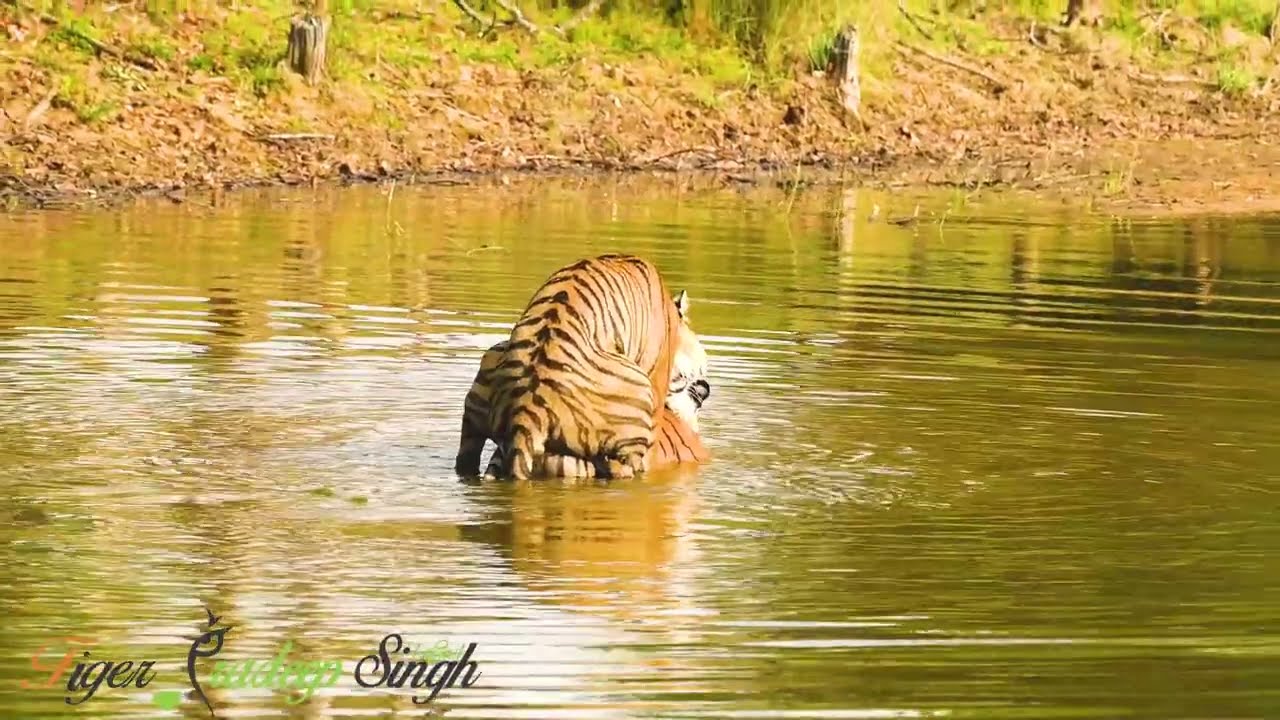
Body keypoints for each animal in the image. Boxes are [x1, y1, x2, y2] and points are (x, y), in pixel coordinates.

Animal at [453, 254, 706, 480]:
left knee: (468, 456)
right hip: (639, 392)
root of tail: (527, 412)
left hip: (488, 367)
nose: (705, 389)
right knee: (622, 468)